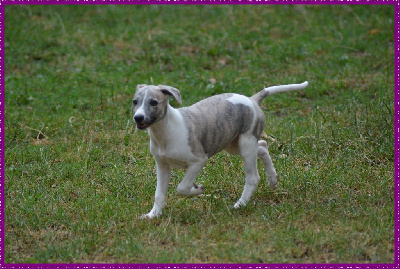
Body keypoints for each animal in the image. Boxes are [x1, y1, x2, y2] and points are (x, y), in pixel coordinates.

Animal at [133, 81, 308, 218]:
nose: (138, 118)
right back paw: (272, 179)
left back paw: (240, 204)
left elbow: (182, 187)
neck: (166, 131)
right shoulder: (162, 166)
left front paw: (197, 189)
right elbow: (159, 194)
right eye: (135, 101)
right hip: (234, 144)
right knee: (263, 146)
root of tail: (252, 99)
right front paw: (153, 215)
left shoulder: (198, 161)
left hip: (246, 143)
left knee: (253, 177)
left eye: (154, 102)